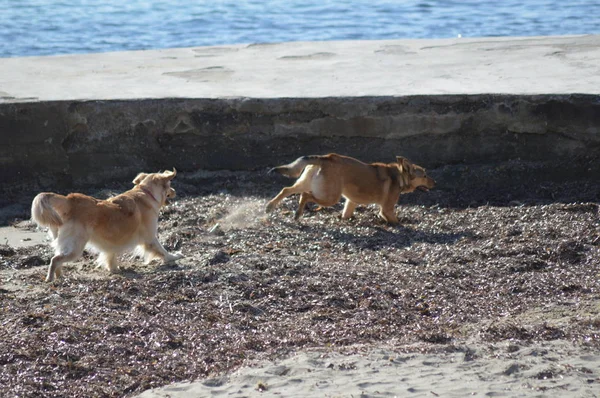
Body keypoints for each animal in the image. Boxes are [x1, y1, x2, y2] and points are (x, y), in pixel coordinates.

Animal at [31, 169, 180, 282]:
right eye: (170, 184)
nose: (175, 191)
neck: (146, 193)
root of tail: (70, 200)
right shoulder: (150, 237)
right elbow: (161, 249)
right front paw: (173, 257)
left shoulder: (111, 243)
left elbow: (110, 255)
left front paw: (114, 269)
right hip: (75, 247)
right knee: (55, 259)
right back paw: (50, 278)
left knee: (58, 257)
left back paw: (60, 275)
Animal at [264, 154, 434, 224]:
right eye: (425, 175)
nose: (435, 182)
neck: (399, 175)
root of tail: (325, 158)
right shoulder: (386, 209)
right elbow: (396, 221)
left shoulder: (351, 202)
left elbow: (346, 214)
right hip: (331, 196)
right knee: (305, 195)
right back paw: (298, 213)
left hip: (305, 183)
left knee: (286, 189)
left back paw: (270, 206)